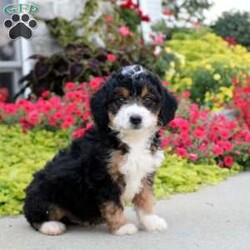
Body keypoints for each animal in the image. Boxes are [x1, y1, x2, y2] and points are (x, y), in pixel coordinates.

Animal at [22, 65, 177, 236]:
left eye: (148, 100)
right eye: (120, 100)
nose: (136, 118)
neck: (133, 140)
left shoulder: (145, 173)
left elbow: (146, 199)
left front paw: (151, 221)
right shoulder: (103, 176)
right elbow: (113, 205)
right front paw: (122, 227)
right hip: (46, 192)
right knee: (37, 215)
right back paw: (51, 226)